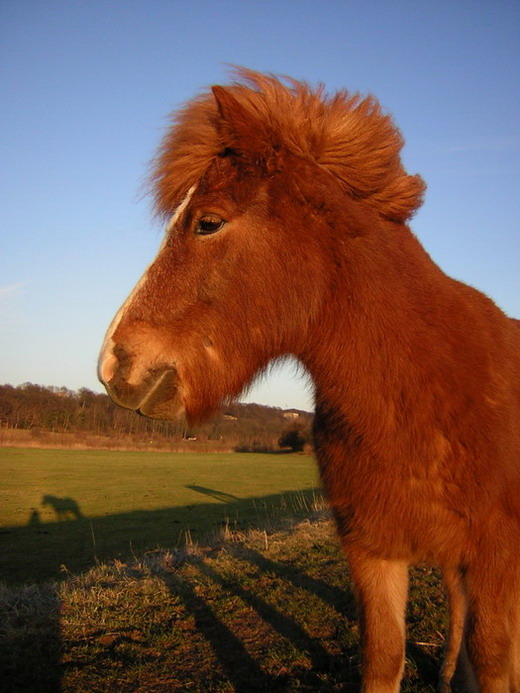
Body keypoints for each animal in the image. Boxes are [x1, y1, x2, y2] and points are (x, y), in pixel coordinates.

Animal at [98, 69, 520, 691]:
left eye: (207, 223)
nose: (113, 366)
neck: (420, 394)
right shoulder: (373, 553)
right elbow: (385, 658)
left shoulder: (496, 559)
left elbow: (494, 659)